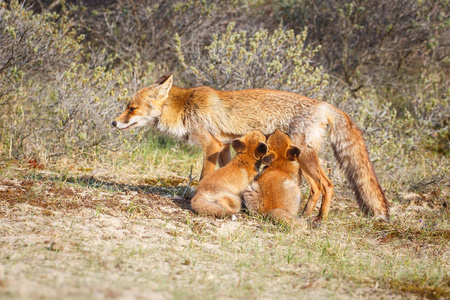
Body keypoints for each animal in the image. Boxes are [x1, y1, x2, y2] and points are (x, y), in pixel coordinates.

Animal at [113, 74, 390, 220]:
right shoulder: (225, 146)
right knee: (317, 187)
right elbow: (224, 174)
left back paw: (319, 219)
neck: (186, 107)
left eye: (132, 108)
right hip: (303, 158)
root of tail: (325, 105)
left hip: (306, 156)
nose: (113, 122)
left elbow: (204, 177)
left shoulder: (211, 144)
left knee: (327, 185)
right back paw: (304, 214)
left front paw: (195, 200)